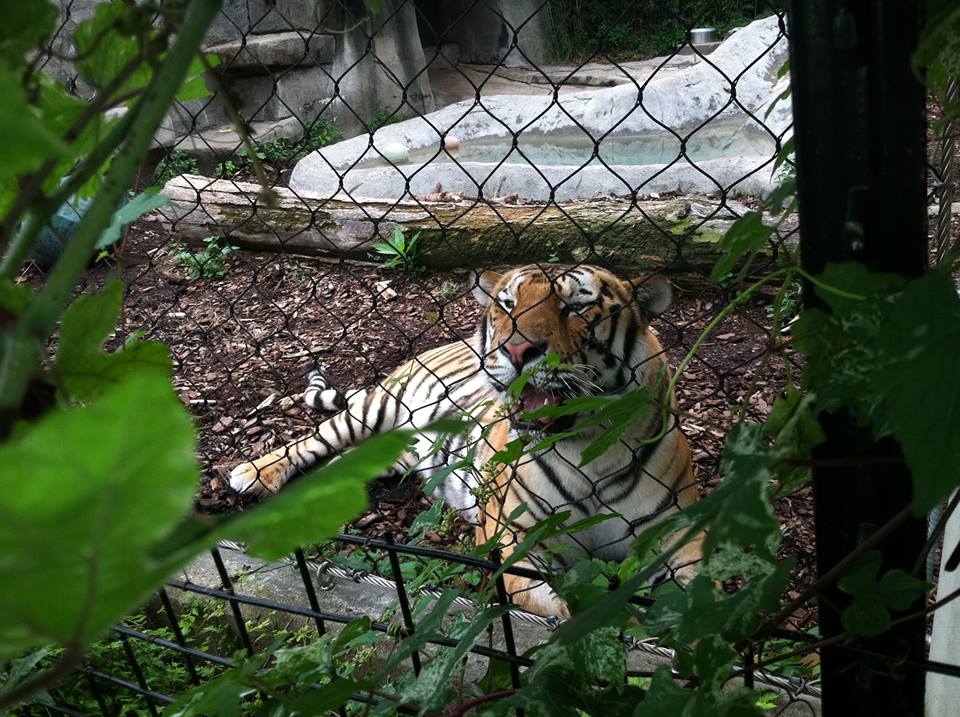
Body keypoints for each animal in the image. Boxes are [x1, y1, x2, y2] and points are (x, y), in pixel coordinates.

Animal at [229, 263, 703, 617]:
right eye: (508, 305)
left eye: (575, 307)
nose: (517, 351)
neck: (588, 449)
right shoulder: (517, 541)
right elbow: (560, 610)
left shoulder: (680, 533)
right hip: (375, 408)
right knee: (312, 441)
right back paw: (251, 473)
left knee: (337, 465)